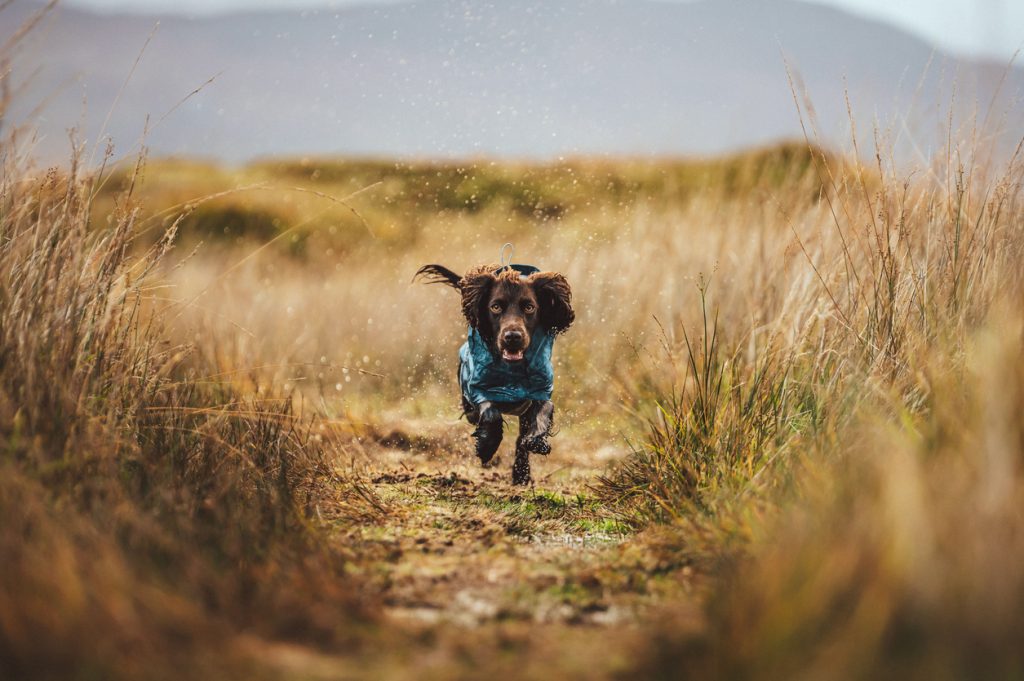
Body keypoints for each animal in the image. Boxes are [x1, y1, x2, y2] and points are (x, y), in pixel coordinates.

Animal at [415, 260, 577, 483]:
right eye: (496, 306)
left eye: (529, 307)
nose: (513, 337)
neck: (512, 372)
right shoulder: (477, 389)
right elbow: (490, 412)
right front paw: (486, 446)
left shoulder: (540, 390)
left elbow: (544, 411)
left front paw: (536, 441)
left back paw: (521, 473)